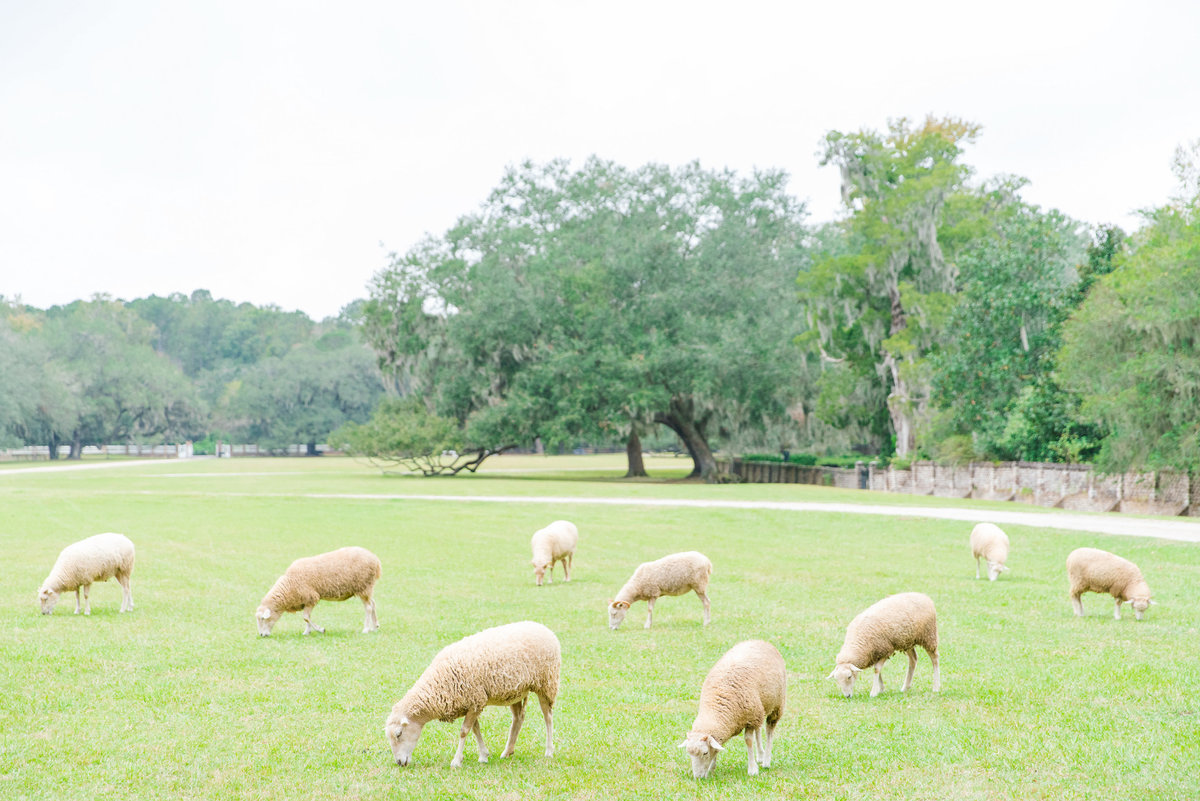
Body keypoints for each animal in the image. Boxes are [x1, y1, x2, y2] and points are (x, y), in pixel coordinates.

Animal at [384, 623, 561, 767]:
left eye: (399, 734)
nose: (399, 762)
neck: (439, 683)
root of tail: (544, 628)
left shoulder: (475, 700)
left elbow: (464, 731)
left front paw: (456, 760)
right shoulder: (472, 702)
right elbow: (476, 729)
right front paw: (483, 755)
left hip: (547, 683)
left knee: (548, 717)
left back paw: (549, 750)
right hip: (515, 691)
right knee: (518, 718)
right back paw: (508, 751)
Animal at [676, 637, 787, 777]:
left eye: (705, 753)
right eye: (689, 753)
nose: (698, 777)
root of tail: (759, 641)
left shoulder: (750, 718)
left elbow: (748, 741)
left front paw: (752, 769)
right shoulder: (752, 715)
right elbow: (718, 747)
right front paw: (712, 768)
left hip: (776, 705)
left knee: (769, 731)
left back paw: (766, 760)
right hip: (759, 708)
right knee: (759, 729)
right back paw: (761, 755)